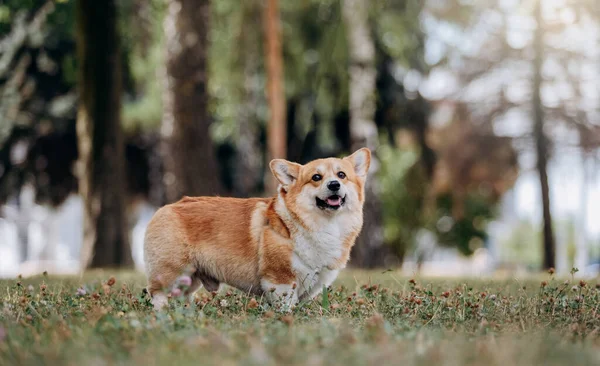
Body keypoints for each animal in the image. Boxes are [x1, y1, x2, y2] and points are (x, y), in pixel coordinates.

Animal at [145, 147, 370, 310]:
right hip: (171, 271)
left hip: (189, 279)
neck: (323, 224)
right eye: (316, 177)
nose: (334, 185)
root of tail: (164, 208)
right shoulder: (280, 280)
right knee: (157, 294)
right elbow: (286, 305)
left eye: (341, 175)